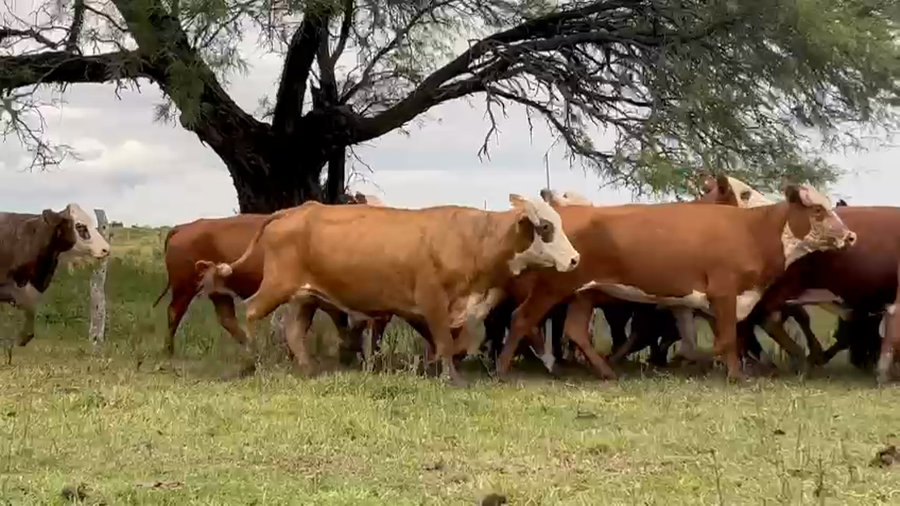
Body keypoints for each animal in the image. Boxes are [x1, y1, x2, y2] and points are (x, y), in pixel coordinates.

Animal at [197, 195, 580, 384]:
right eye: (546, 228)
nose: (576, 259)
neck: (471, 237)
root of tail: (295, 210)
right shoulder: (432, 300)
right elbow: (445, 341)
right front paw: (451, 376)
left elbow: (465, 339)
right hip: (277, 286)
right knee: (250, 311)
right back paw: (253, 359)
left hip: (306, 296)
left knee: (293, 330)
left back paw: (308, 368)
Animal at [495, 179, 855, 382]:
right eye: (818, 211)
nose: (850, 236)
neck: (752, 230)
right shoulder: (723, 294)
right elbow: (726, 339)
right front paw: (733, 375)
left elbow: (725, 339)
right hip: (552, 287)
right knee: (522, 319)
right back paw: (503, 370)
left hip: (586, 294)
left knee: (575, 330)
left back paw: (607, 373)